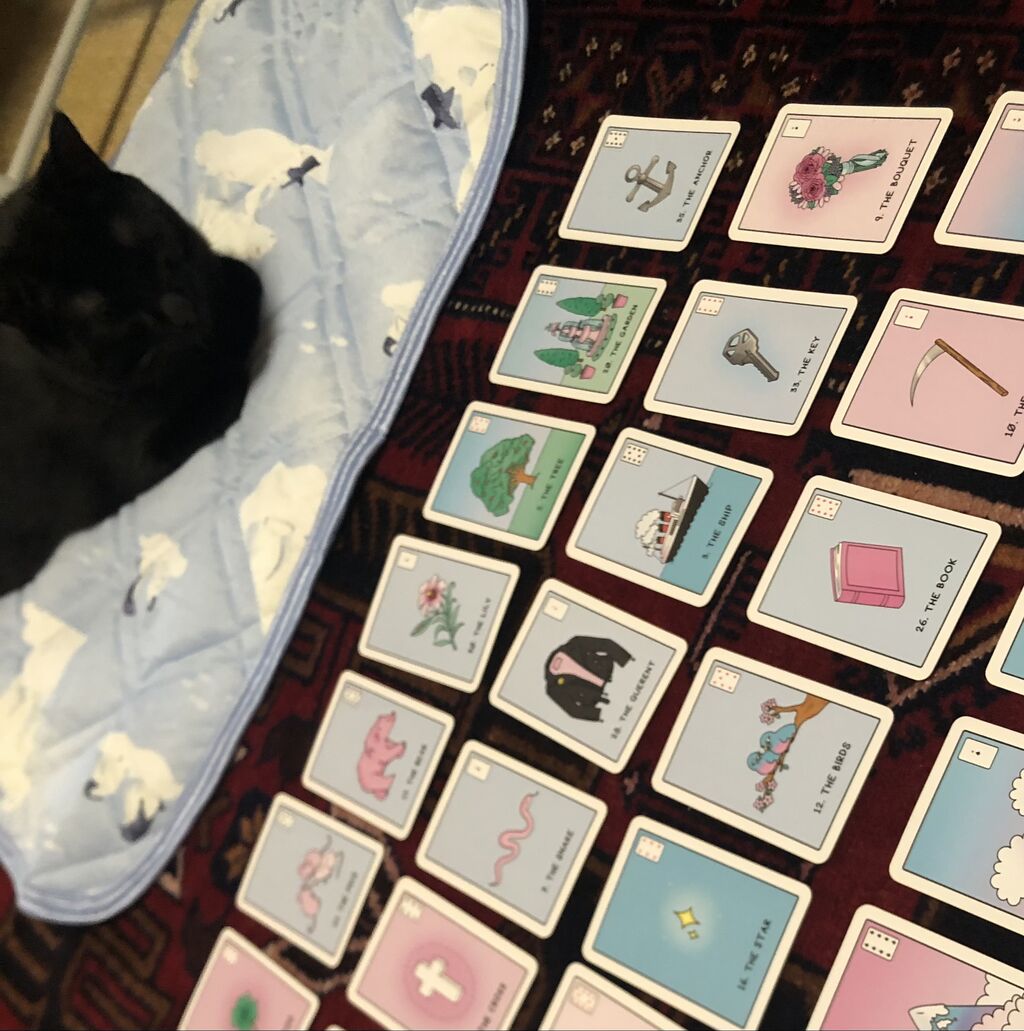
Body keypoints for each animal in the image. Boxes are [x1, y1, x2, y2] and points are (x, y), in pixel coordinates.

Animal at [0, 113, 264, 597]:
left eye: (141, 243)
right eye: (106, 313)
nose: (180, 310)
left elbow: (243, 278)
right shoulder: (141, 457)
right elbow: (224, 385)